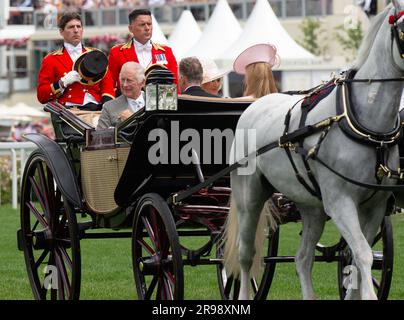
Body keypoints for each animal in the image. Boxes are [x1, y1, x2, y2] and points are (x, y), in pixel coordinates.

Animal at [226, 0, 404, 300]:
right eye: (403, 29)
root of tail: (254, 105)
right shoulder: (340, 201)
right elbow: (364, 255)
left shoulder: (375, 206)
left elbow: (357, 258)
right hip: (248, 198)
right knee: (245, 255)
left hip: (312, 208)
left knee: (303, 258)